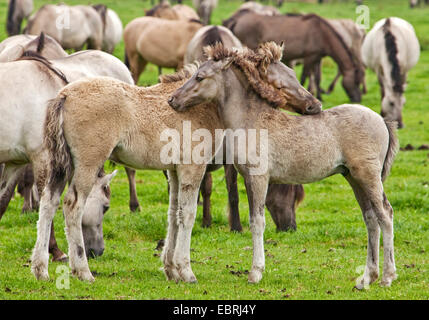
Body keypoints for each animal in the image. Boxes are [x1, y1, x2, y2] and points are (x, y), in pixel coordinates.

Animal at [224, 10, 362, 102]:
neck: (321, 33)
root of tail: (237, 20)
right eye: (356, 82)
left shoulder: (317, 58)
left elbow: (317, 78)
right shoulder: (309, 57)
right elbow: (304, 77)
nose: (358, 100)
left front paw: (320, 97)